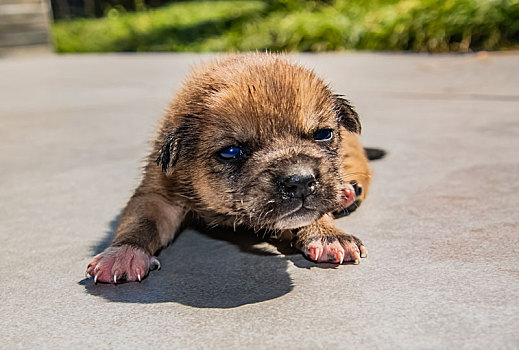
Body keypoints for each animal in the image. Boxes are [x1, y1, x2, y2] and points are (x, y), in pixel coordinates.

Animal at [88, 54, 374, 284]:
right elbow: (141, 223)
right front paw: (124, 254)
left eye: (323, 134)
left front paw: (328, 235)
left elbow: (315, 213)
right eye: (232, 152)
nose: (301, 181)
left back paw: (346, 193)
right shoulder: (158, 194)